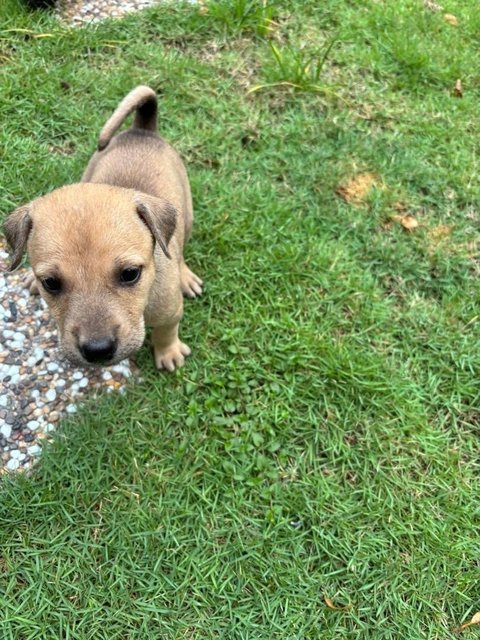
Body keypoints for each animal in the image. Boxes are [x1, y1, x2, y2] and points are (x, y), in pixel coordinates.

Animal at [2, 87, 201, 372]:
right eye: (50, 283)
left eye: (130, 274)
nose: (97, 350)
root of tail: (142, 130)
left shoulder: (171, 311)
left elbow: (166, 330)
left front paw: (168, 352)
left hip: (187, 213)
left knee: (180, 246)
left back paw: (185, 276)